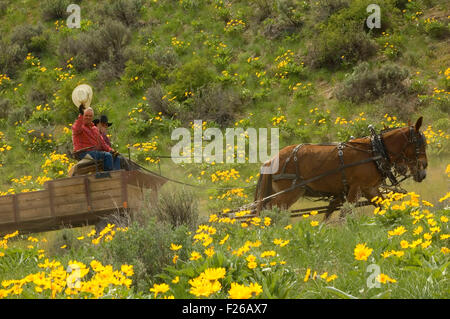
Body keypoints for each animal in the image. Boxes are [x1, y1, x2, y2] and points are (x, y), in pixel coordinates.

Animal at [255, 117, 428, 220]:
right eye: (420, 144)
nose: (424, 170)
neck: (374, 151)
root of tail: (271, 160)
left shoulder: (369, 189)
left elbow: (383, 206)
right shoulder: (356, 188)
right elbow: (345, 214)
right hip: (290, 193)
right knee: (268, 211)